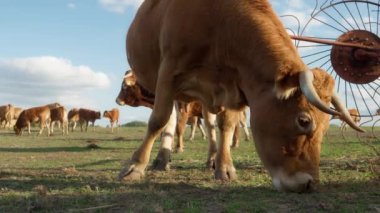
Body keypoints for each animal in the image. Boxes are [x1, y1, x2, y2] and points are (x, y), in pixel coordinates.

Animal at [118, 0, 362, 193]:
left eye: (326, 125)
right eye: (303, 120)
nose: (310, 184)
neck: (219, 26)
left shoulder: (234, 85)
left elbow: (226, 126)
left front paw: (224, 167)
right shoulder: (169, 72)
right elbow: (157, 120)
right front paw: (134, 166)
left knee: (209, 124)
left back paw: (211, 158)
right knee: (169, 121)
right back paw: (162, 159)